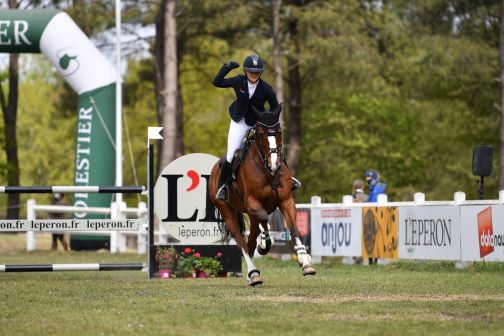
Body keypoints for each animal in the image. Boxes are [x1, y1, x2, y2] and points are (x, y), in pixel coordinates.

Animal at [209, 105, 316, 286]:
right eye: (261, 134)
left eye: (279, 132)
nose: (275, 165)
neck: (268, 172)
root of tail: (215, 169)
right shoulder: (253, 202)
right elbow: (265, 220)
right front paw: (265, 244)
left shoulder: (286, 201)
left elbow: (294, 230)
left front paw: (305, 262)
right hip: (227, 212)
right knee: (242, 243)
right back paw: (253, 273)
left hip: (251, 216)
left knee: (250, 241)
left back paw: (252, 274)